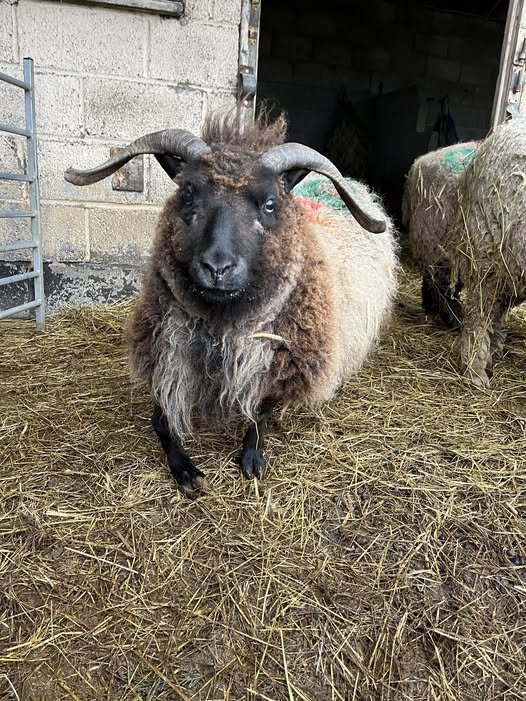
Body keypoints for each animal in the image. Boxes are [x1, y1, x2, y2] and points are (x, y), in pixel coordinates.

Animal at [64, 111, 398, 496]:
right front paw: (186, 471)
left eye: (269, 204)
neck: (221, 323)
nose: (217, 268)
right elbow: (161, 422)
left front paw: (252, 458)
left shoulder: (279, 364)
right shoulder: (167, 359)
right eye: (188, 194)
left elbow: (260, 415)